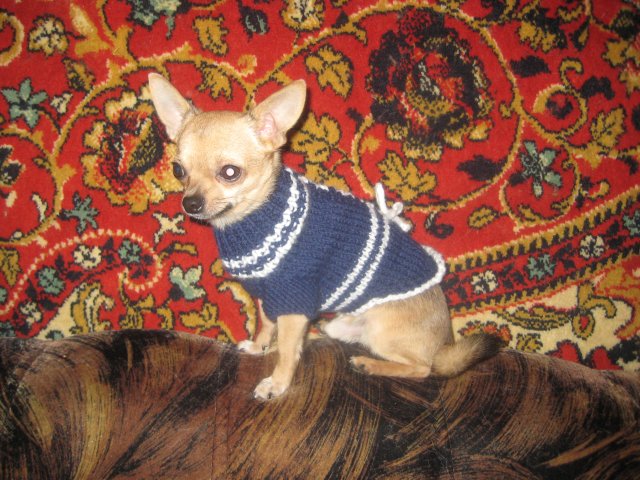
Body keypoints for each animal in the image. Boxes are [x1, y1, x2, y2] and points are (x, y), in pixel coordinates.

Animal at [148, 74, 502, 400]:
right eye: (178, 170)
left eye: (230, 173)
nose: (190, 203)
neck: (253, 218)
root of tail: (445, 344)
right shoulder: (270, 296)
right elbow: (266, 324)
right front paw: (260, 347)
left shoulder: (295, 300)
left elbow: (288, 350)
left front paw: (277, 383)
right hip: (343, 324)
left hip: (384, 332)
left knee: (423, 368)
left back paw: (371, 364)